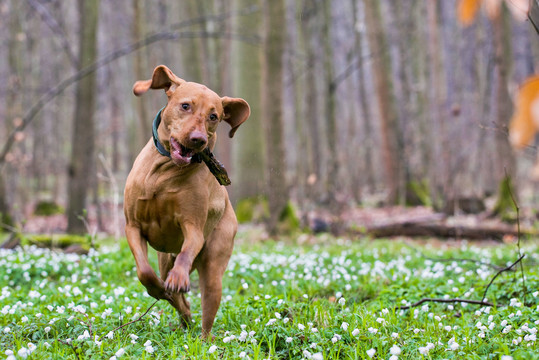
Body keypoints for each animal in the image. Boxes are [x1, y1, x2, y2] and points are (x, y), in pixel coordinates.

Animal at [123, 64, 250, 338]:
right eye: (185, 106)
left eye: (214, 116)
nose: (198, 139)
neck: (164, 172)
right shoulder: (132, 226)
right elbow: (144, 271)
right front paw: (158, 289)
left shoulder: (193, 227)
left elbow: (186, 252)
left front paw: (178, 279)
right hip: (164, 258)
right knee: (175, 295)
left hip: (214, 262)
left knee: (206, 310)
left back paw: (201, 336)